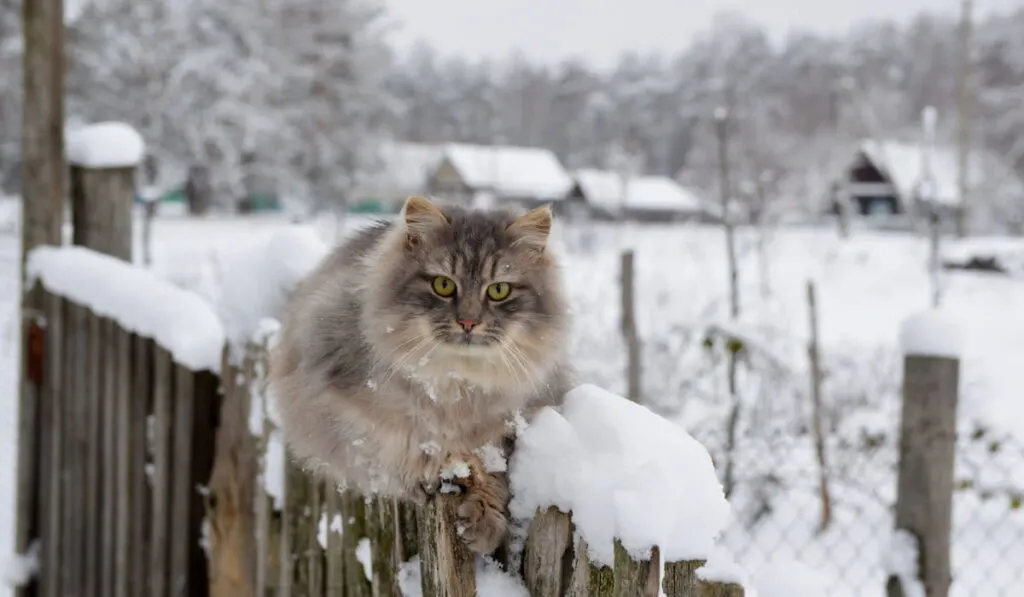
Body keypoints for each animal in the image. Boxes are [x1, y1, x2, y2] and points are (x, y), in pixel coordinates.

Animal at [272, 196, 573, 557]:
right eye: (444, 285)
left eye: (499, 290)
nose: (468, 322)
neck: (457, 380)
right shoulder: (337, 402)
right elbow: (389, 446)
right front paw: (424, 473)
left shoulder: (508, 424)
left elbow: (492, 472)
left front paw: (483, 516)